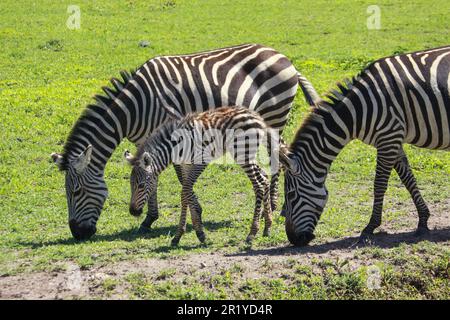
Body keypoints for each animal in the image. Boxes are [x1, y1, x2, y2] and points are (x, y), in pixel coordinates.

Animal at [125, 107, 276, 245]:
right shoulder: (185, 166)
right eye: (130, 185)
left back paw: (252, 233)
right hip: (247, 155)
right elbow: (185, 194)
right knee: (264, 179)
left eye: (141, 185)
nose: (133, 212)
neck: (176, 146)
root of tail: (256, 116)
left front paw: (196, 234)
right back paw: (267, 227)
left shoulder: (200, 162)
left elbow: (185, 191)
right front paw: (182, 235)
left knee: (258, 185)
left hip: (242, 153)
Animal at [282, 45, 450, 246]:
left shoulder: (388, 137)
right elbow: (408, 179)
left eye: (291, 195)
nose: (293, 240)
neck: (357, 113)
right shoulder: (393, 139)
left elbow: (379, 184)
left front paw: (370, 227)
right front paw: (423, 221)